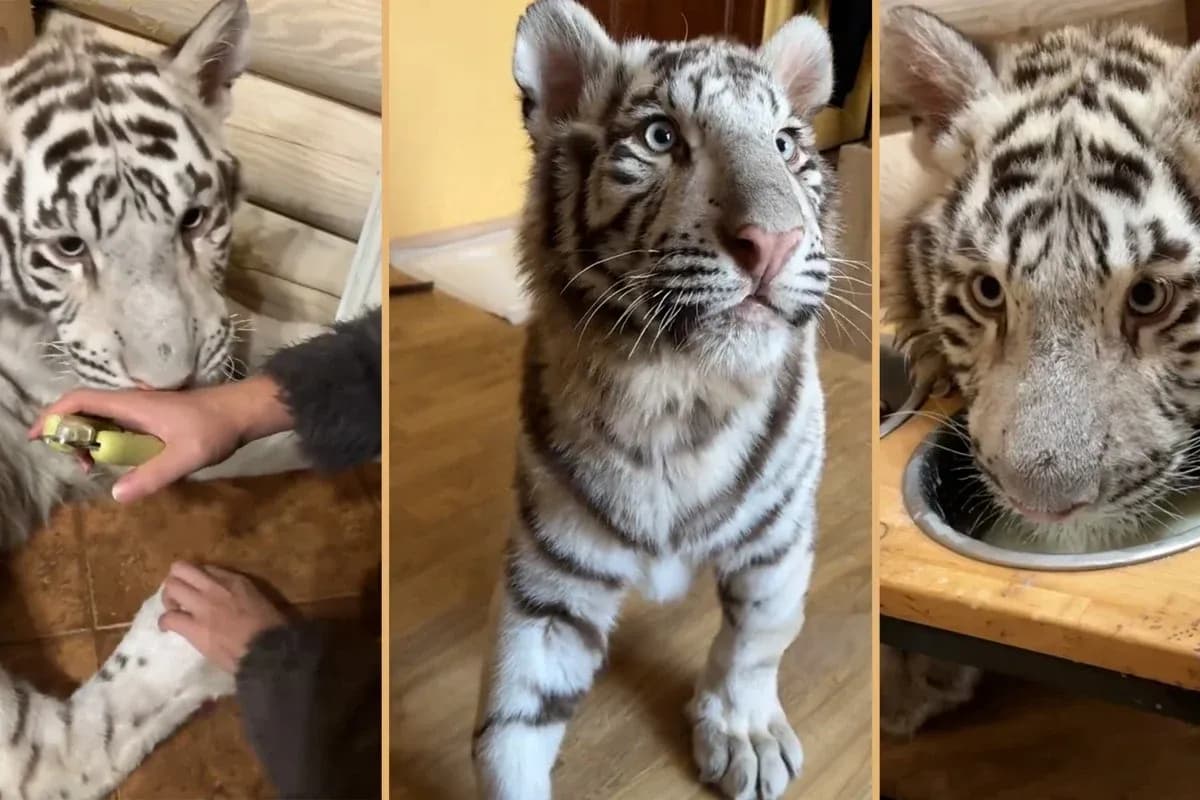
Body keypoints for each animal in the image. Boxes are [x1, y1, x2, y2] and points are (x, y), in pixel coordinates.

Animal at [471, 2, 839, 798]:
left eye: (785, 144)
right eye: (661, 137)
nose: (774, 242)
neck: (679, 390)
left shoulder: (778, 539)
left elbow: (758, 640)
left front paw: (744, 734)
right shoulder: (554, 576)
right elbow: (510, 725)